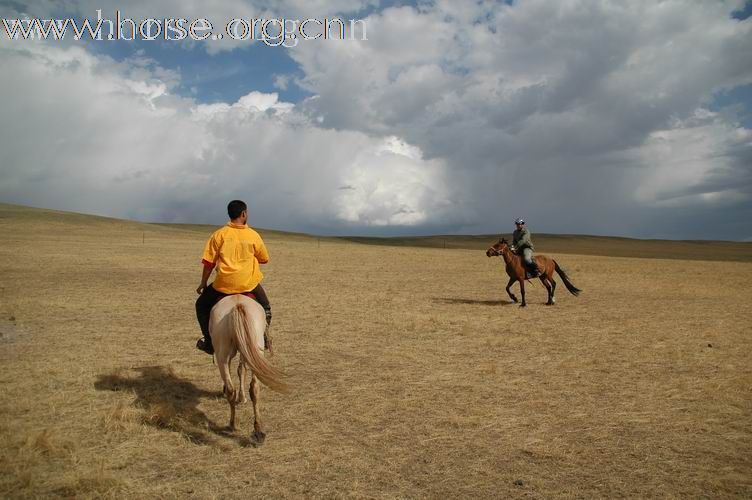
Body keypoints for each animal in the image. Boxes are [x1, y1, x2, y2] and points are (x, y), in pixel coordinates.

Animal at [210, 294, 290, 444]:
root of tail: (237, 306)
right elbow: (242, 370)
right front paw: (242, 397)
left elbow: (240, 370)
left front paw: (241, 398)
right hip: (254, 350)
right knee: (254, 388)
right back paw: (258, 431)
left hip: (223, 355)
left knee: (231, 387)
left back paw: (232, 425)